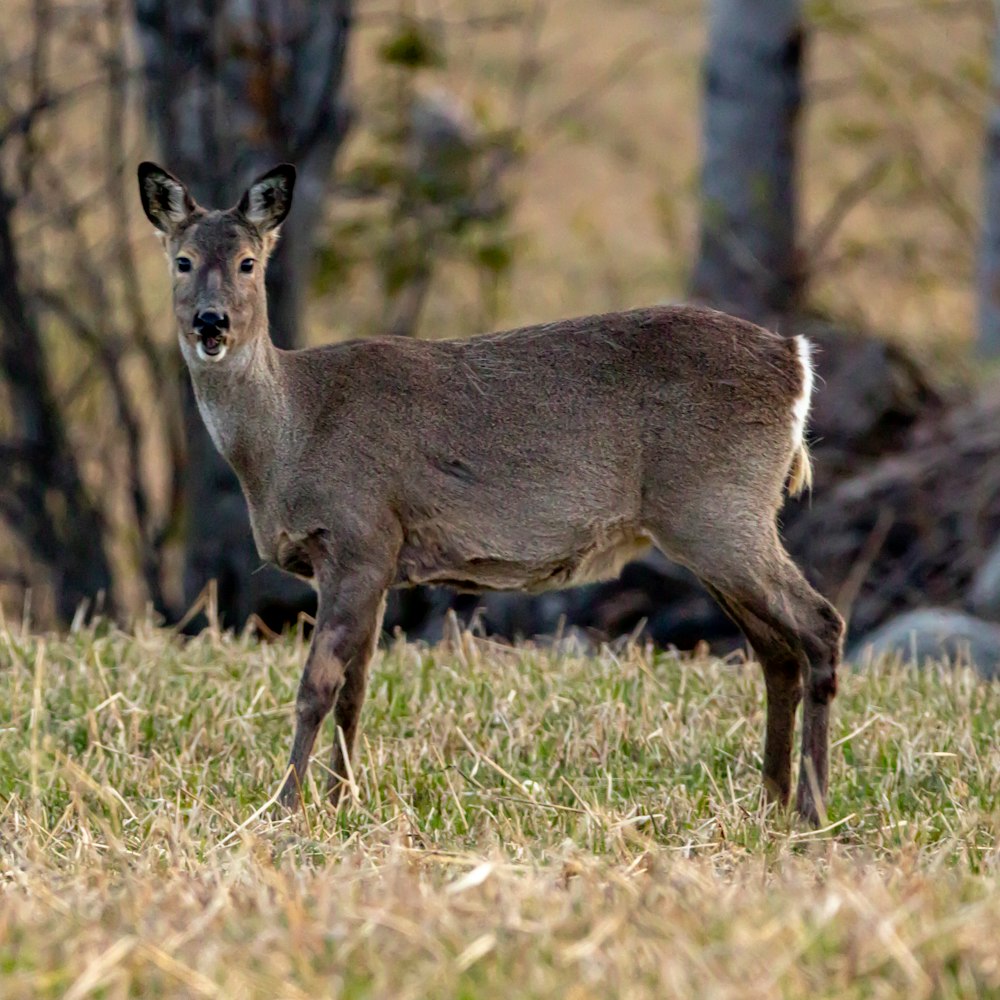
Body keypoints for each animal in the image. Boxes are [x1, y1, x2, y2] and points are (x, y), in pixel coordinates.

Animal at [141, 160, 844, 824]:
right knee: (776, 651)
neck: (290, 435)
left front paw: (286, 807)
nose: (211, 321)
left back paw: (811, 807)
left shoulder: (359, 535)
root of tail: (795, 360)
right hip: (715, 524)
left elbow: (316, 686)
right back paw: (772, 801)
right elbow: (355, 690)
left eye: (248, 262)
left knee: (820, 624)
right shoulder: (376, 560)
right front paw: (342, 802)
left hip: (718, 510)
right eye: (182, 260)